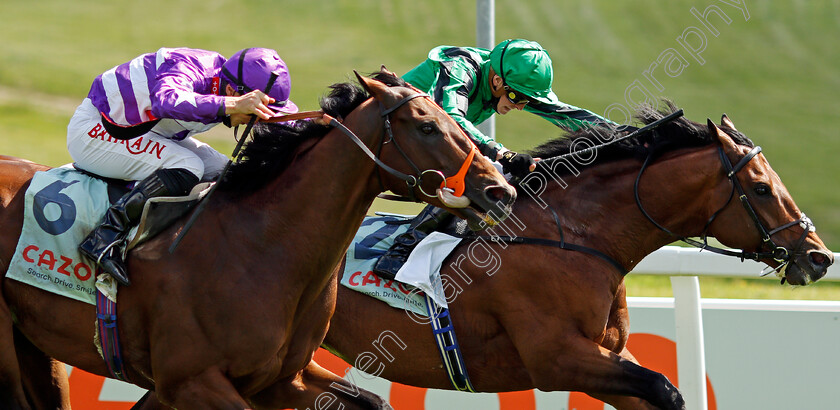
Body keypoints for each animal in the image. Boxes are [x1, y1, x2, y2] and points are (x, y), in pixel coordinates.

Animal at [0, 71, 520, 410]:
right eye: (428, 125)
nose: (500, 189)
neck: (261, 247)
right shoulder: (192, 381)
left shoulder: (283, 379)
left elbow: (375, 403)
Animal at [318, 107, 832, 408]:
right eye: (761, 188)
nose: (820, 257)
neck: (574, 238)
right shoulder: (557, 357)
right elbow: (665, 390)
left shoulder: (607, 357)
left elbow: (657, 390)